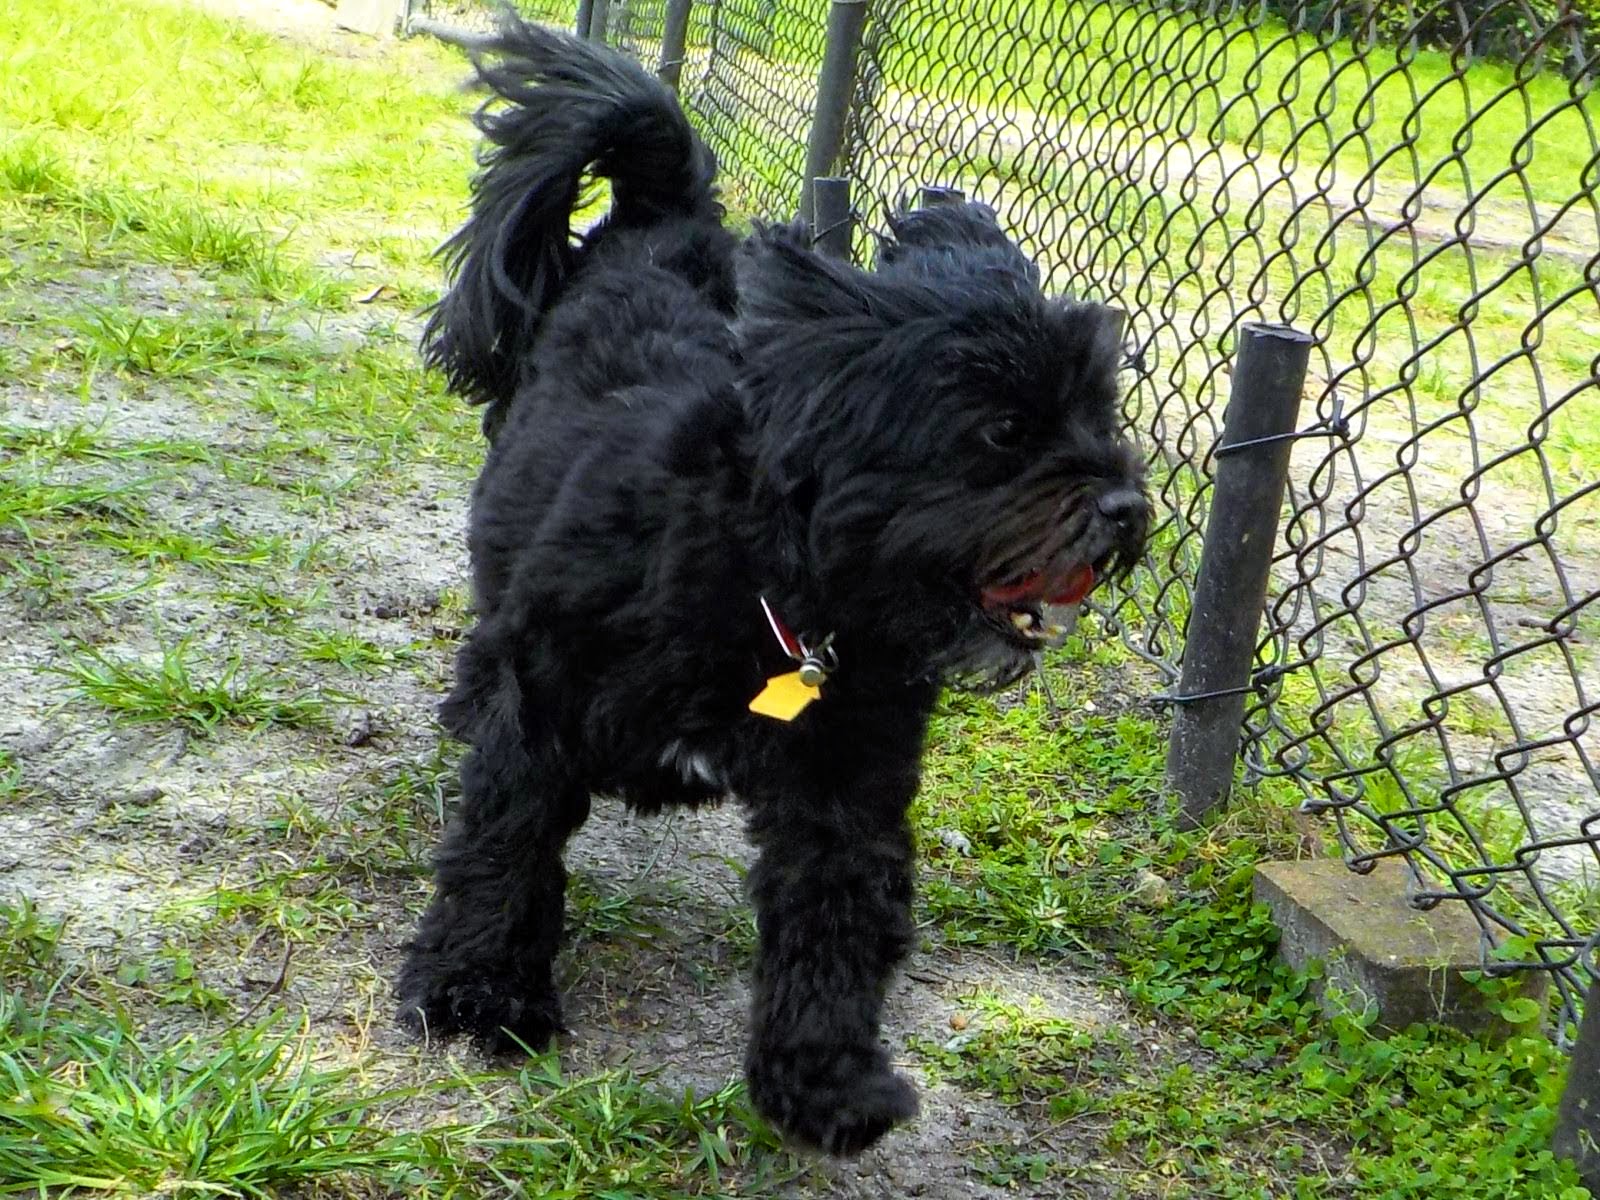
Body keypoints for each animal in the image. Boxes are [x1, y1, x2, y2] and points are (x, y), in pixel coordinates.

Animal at [400, 18, 1152, 1158]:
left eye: (1100, 415)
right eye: (1002, 432)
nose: (1127, 510)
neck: (779, 598)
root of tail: (662, 217)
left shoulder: (845, 789)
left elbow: (832, 931)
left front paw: (824, 1080)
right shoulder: (548, 711)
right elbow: (505, 846)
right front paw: (479, 989)